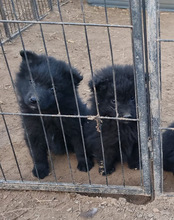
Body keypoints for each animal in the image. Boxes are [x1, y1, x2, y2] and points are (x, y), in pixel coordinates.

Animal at [15, 50, 91, 179]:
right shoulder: (32, 132)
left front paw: (85, 163)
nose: (34, 100)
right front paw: (40, 169)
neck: (47, 115)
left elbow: (81, 147)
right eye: (32, 81)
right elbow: (37, 153)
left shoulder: (75, 128)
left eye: (53, 89)